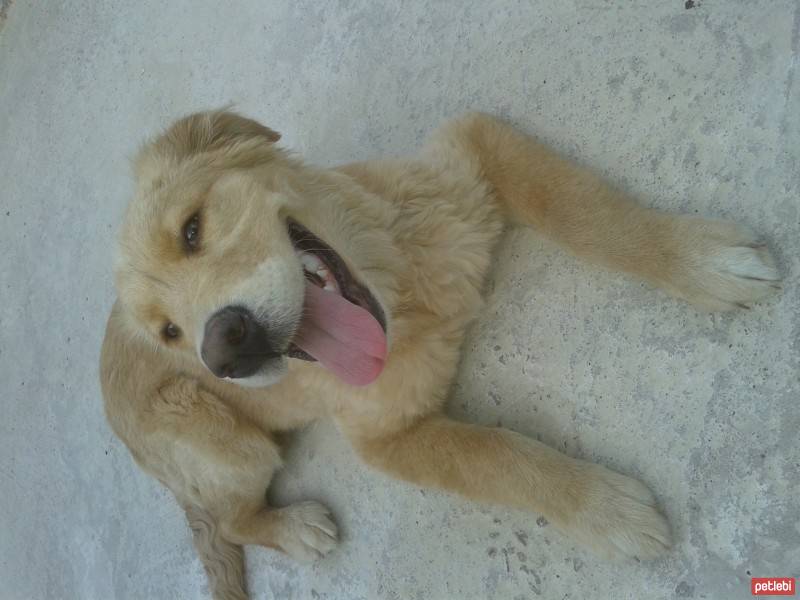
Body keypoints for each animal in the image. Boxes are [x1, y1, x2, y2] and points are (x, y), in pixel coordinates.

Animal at [100, 110, 780, 596]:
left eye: (192, 230)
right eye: (169, 334)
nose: (222, 355)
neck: (406, 296)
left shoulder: (471, 152)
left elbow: (587, 213)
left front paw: (696, 260)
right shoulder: (386, 438)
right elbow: (498, 455)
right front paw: (603, 509)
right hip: (229, 444)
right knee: (231, 520)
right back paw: (295, 529)